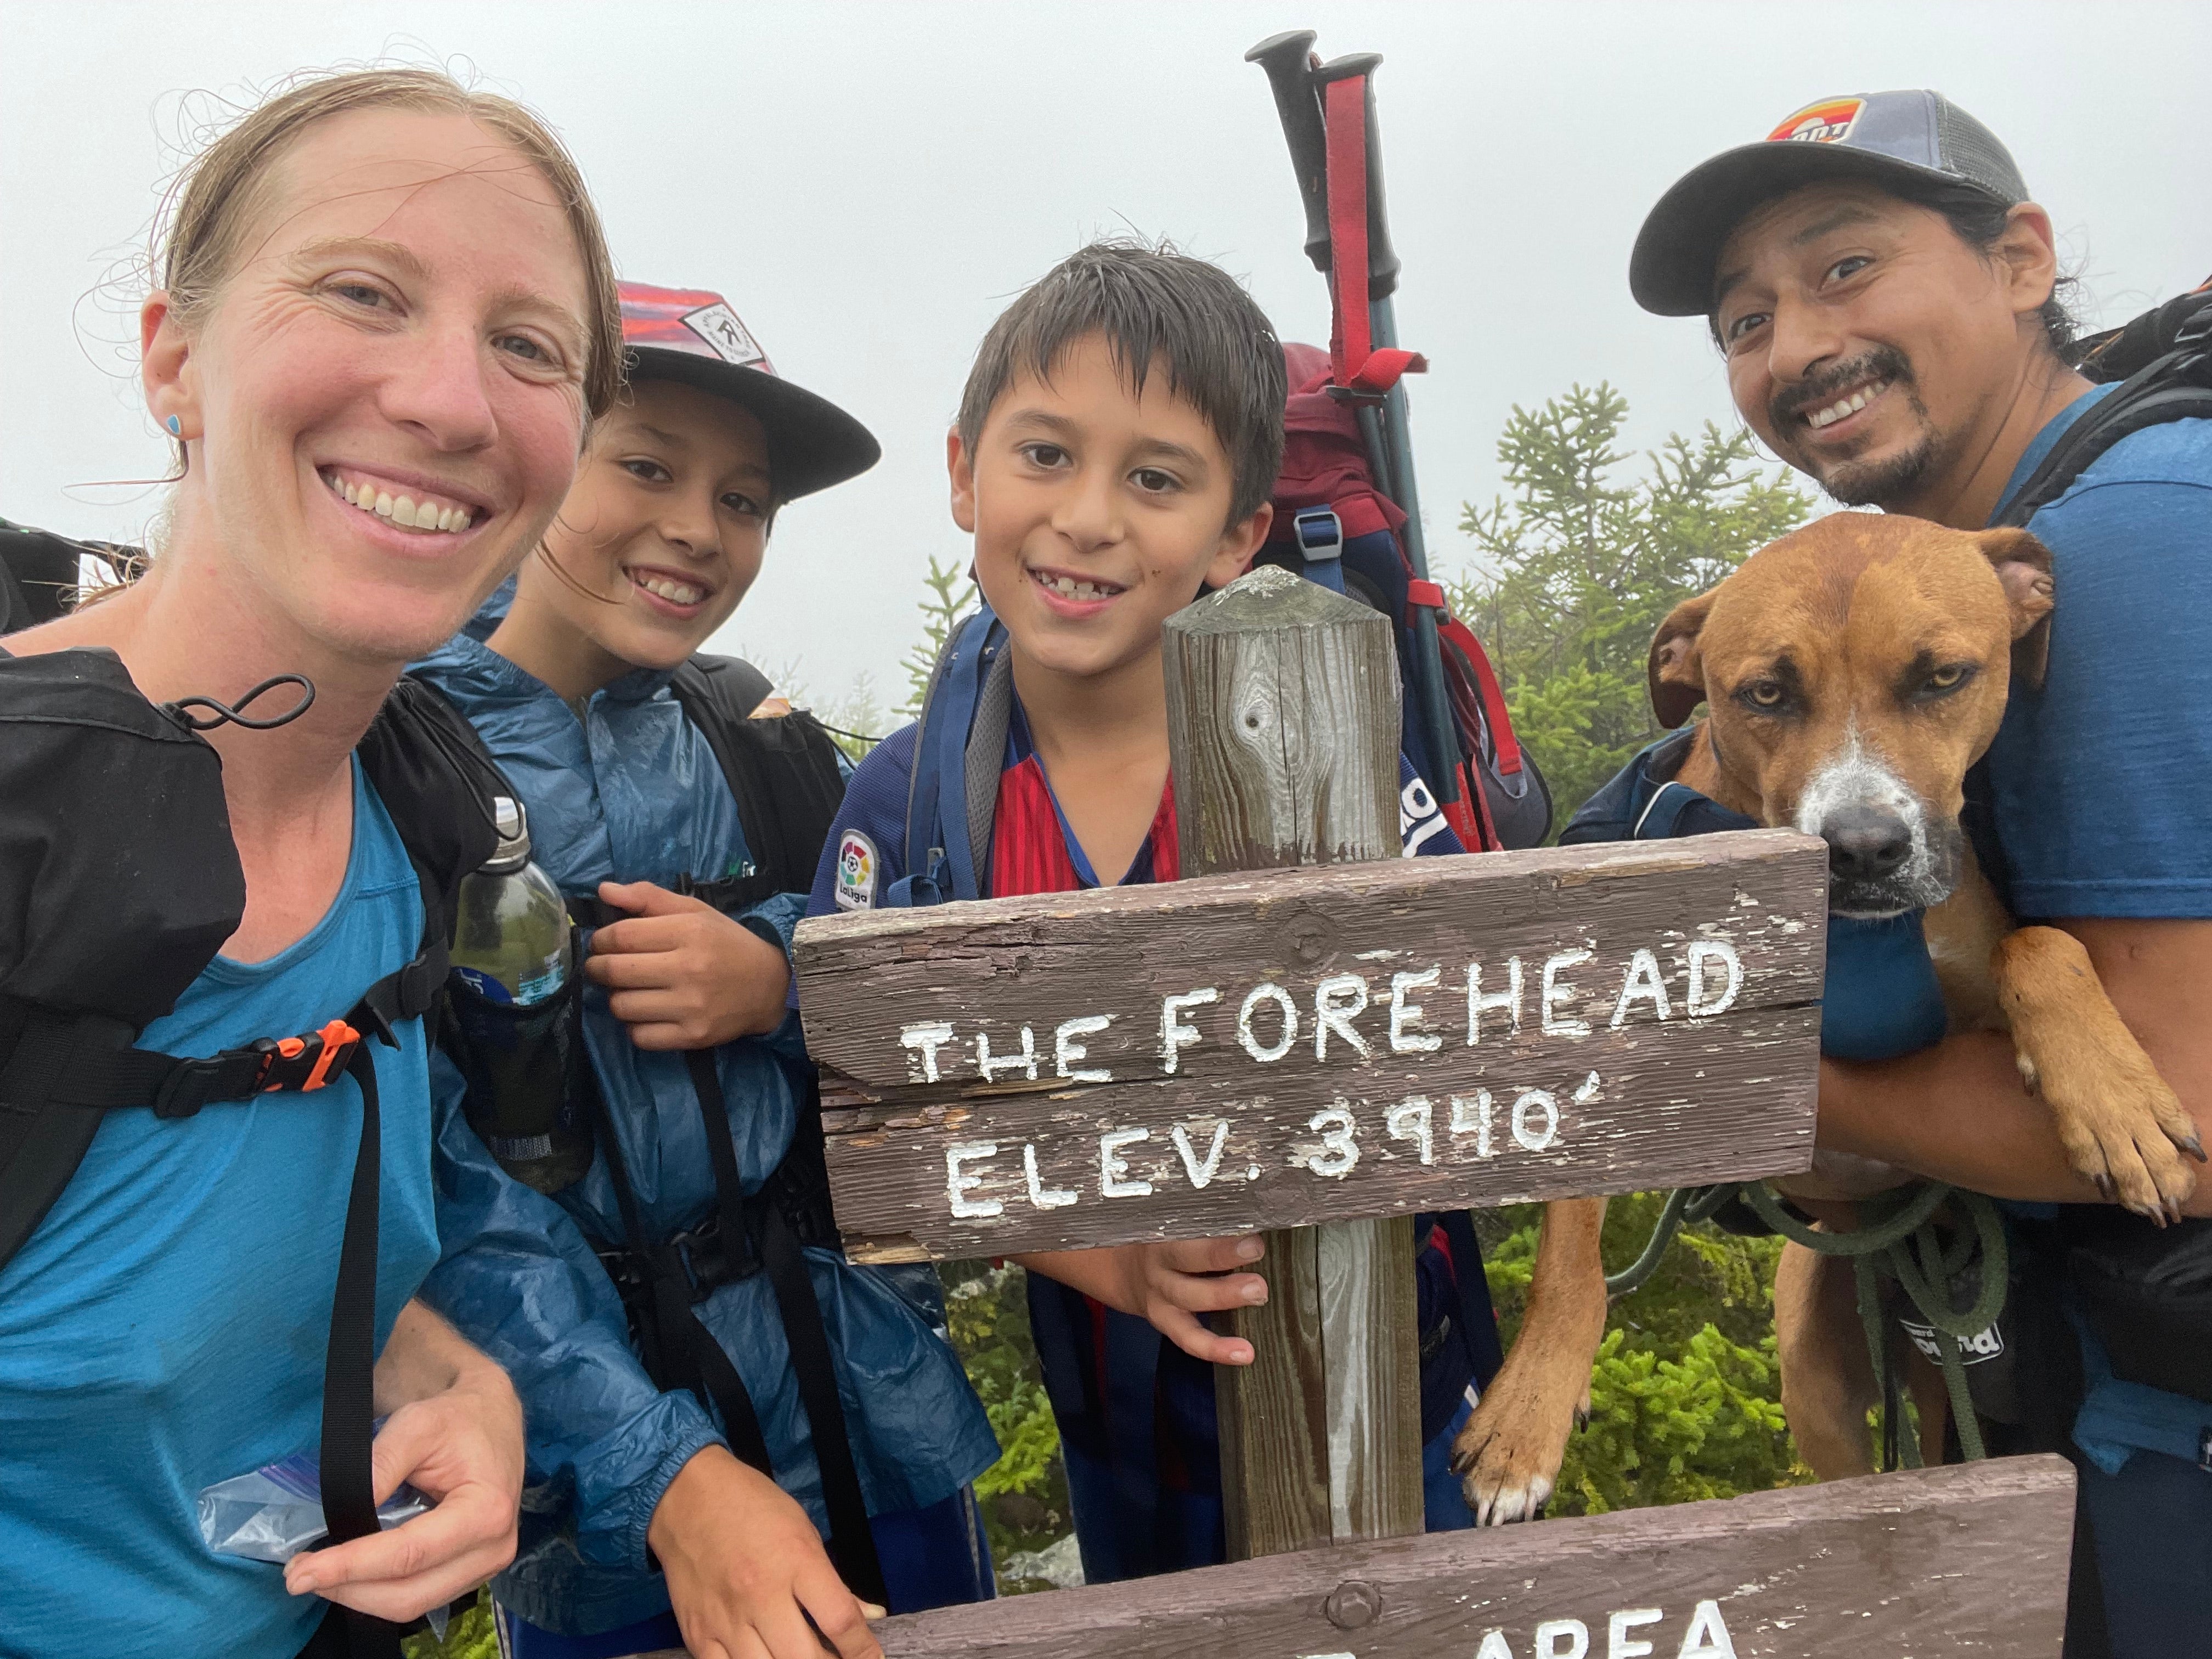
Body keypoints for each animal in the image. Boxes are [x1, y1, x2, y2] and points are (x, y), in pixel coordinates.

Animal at [1451, 513, 2194, 1513]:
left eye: (1942, 676)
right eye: (1765, 692)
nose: (1865, 848)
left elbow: (2037, 945)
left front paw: (2118, 1100)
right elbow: (1568, 1253)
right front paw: (1524, 1415)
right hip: (1814, 1379)